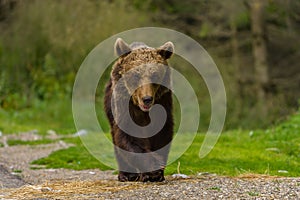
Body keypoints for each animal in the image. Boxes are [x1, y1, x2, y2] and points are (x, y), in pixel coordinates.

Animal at [103, 38, 173, 182]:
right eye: (136, 75)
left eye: (155, 75)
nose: (147, 99)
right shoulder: (125, 105)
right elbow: (129, 135)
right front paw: (152, 170)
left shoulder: (162, 102)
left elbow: (161, 134)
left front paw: (158, 174)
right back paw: (126, 175)